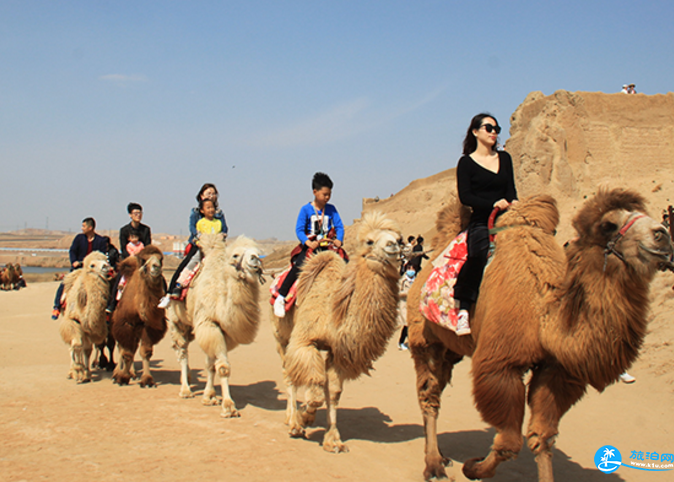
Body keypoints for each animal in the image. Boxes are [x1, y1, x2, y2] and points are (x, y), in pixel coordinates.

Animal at [58, 252, 111, 384]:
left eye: (105, 259)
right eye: (92, 265)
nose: (106, 266)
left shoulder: (89, 329)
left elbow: (87, 349)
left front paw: (86, 373)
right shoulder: (72, 321)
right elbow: (76, 345)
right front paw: (77, 371)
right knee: (73, 345)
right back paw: (72, 372)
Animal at [111, 247, 166, 386]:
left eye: (161, 259)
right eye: (144, 260)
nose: (156, 267)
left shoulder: (148, 326)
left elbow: (145, 351)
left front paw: (147, 379)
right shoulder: (125, 324)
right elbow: (127, 352)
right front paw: (122, 377)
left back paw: (132, 373)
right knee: (122, 348)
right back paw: (117, 373)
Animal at [165, 235, 262, 416]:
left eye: (258, 252)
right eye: (235, 255)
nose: (255, 259)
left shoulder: (221, 331)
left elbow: (210, 365)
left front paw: (209, 396)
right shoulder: (208, 324)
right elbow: (223, 367)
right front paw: (229, 406)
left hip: (190, 326)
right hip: (175, 319)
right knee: (182, 351)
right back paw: (185, 389)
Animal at [270, 213, 402, 454]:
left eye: (399, 237)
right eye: (369, 241)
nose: (393, 246)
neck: (334, 308)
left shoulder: (338, 352)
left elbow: (332, 391)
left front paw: (332, 440)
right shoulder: (304, 339)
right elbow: (314, 385)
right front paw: (303, 418)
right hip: (281, 336)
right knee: (289, 374)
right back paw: (293, 421)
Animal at [404, 189, 672, 482]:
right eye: (608, 225)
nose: (662, 234)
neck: (544, 313)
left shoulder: (555, 369)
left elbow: (542, 437)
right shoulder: (502, 363)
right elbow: (510, 442)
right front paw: (473, 467)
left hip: (450, 348)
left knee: (438, 386)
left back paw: (440, 456)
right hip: (424, 337)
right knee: (428, 394)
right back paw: (434, 466)